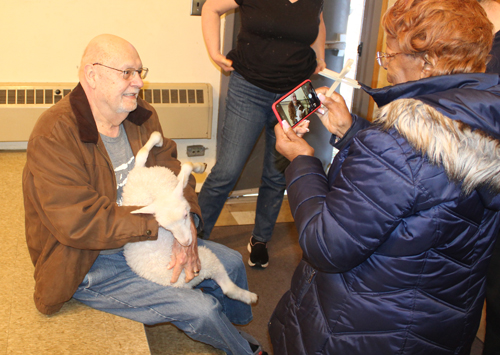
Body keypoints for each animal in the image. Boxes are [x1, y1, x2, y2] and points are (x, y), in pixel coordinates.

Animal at [122, 132, 258, 304]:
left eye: (186, 215)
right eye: (166, 228)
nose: (186, 243)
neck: (155, 192)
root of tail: (182, 284)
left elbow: (141, 153)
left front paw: (157, 140)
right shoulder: (174, 183)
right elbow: (186, 166)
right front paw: (200, 166)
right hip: (206, 259)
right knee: (227, 288)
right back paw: (249, 296)